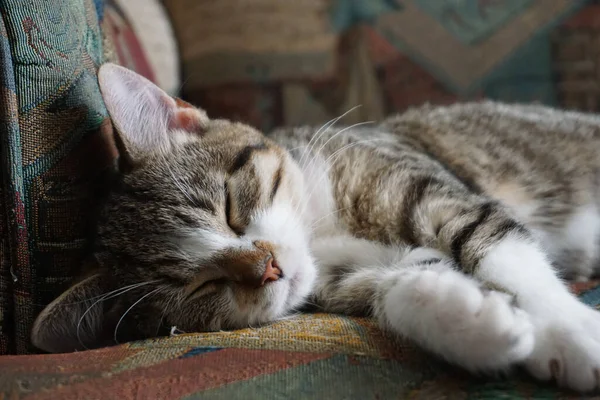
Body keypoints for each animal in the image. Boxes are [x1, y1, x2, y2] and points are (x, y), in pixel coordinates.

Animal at [31, 64, 600, 392]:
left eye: (229, 207)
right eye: (199, 286)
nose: (267, 268)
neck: (320, 230)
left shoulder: (416, 181)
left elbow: (494, 242)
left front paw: (567, 334)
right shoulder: (346, 276)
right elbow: (395, 287)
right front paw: (473, 323)